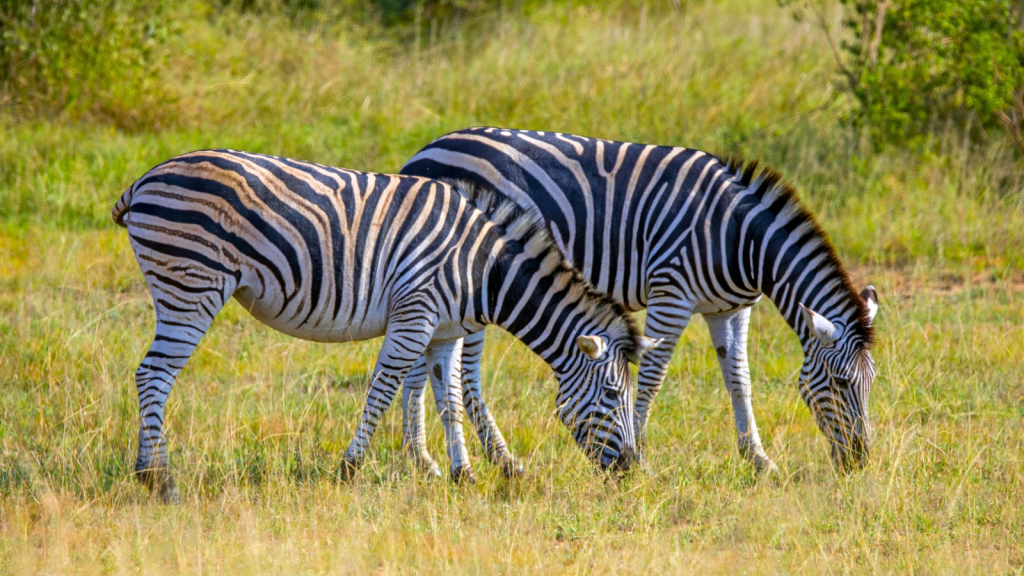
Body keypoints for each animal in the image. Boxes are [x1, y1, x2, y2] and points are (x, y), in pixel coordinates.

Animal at [112, 148, 655, 502]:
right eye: (613, 395)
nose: (631, 471)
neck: (482, 268)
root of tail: (146, 177)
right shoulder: (414, 316)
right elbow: (381, 390)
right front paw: (349, 470)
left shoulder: (445, 333)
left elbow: (449, 401)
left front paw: (464, 476)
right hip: (191, 285)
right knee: (153, 375)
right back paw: (158, 479)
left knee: (150, 374)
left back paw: (148, 472)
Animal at [399, 127, 880, 473]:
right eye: (841, 383)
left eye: (872, 383)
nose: (860, 461)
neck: (739, 237)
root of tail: (424, 151)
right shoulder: (672, 293)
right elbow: (651, 378)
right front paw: (642, 454)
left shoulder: (732, 308)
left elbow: (739, 379)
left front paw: (759, 460)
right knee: (463, 374)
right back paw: (493, 458)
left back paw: (428, 458)